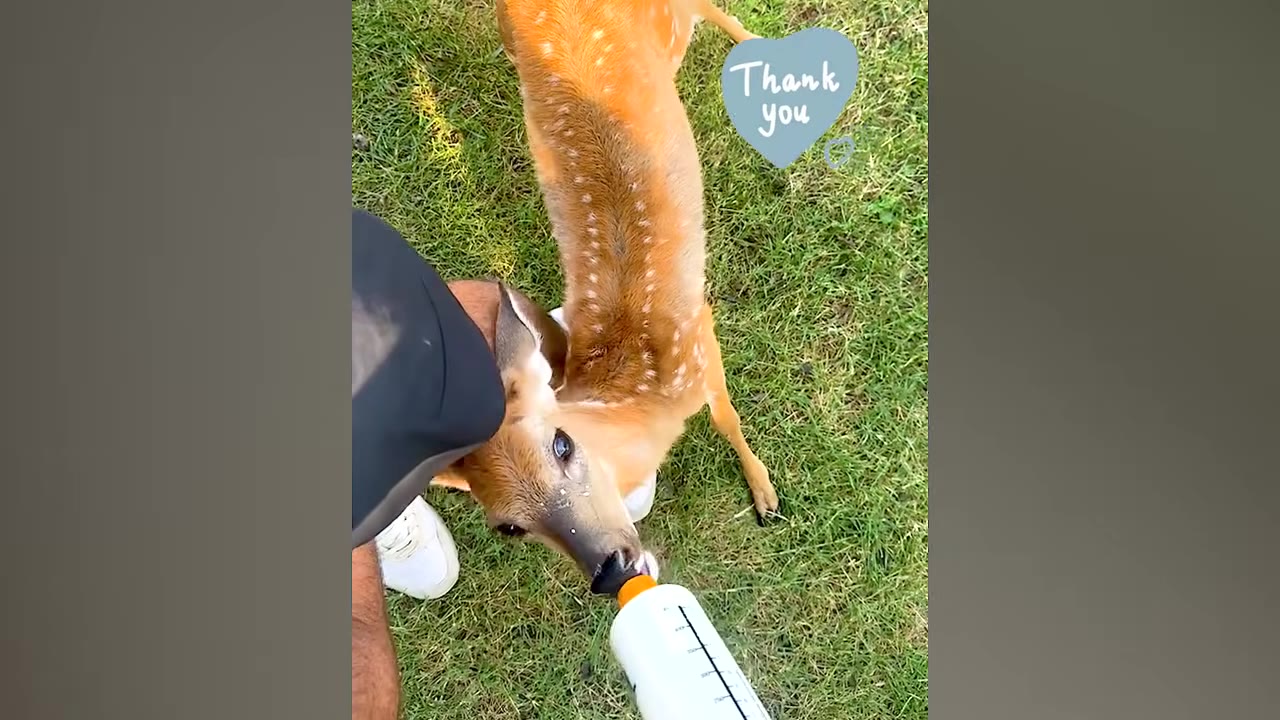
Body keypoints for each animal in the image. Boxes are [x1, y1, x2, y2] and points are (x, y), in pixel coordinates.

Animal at [433, 0, 778, 598]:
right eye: (508, 526)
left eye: (562, 444)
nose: (610, 568)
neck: (645, 394)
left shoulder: (700, 337)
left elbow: (727, 417)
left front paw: (764, 494)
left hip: (669, 28)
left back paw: (755, 43)